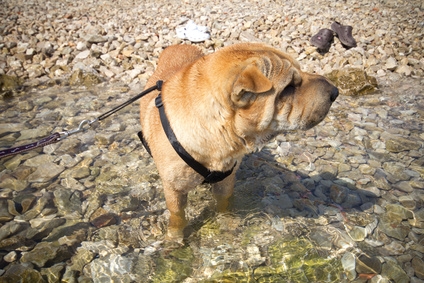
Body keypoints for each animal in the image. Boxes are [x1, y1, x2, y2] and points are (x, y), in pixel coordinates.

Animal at [139, 42, 338, 242]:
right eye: (288, 87)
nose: (335, 92)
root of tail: (177, 45)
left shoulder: (226, 180)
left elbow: (224, 203)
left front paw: (226, 222)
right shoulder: (174, 189)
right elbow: (177, 216)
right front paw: (174, 239)